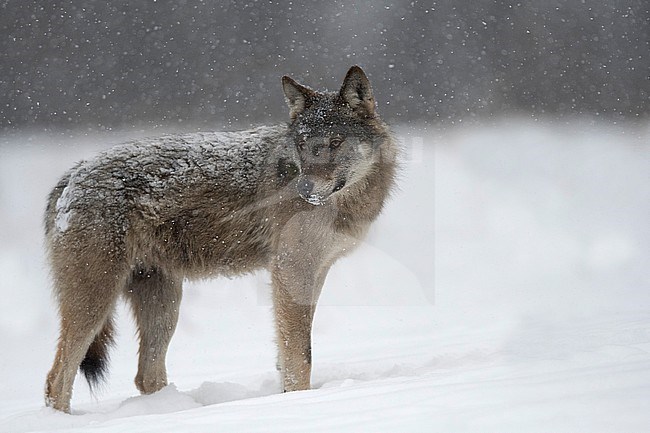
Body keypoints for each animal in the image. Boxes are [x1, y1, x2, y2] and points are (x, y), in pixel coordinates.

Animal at [44, 66, 394, 410]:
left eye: (336, 142)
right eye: (303, 145)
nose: (304, 189)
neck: (345, 204)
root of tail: (69, 176)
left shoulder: (311, 273)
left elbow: (286, 355)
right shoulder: (291, 271)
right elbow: (300, 356)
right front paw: (298, 402)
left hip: (165, 305)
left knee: (146, 377)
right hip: (96, 304)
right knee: (56, 381)